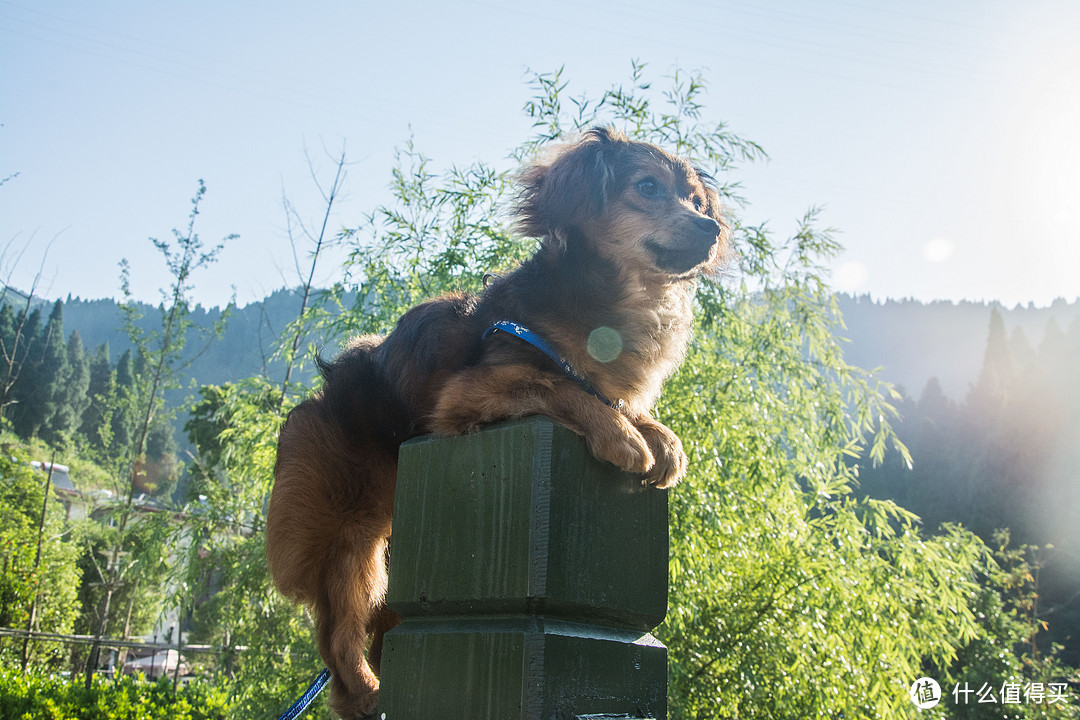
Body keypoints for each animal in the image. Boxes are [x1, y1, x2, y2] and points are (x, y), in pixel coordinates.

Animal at [265, 126, 730, 716]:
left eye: (695, 201)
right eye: (647, 187)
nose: (710, 226)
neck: (616, 301)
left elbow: (612, 398)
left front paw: (661, 437)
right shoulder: (470, 389)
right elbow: (561, 387)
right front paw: (623, 436)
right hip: (351, 538)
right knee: (337, 636)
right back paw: (368, 690)